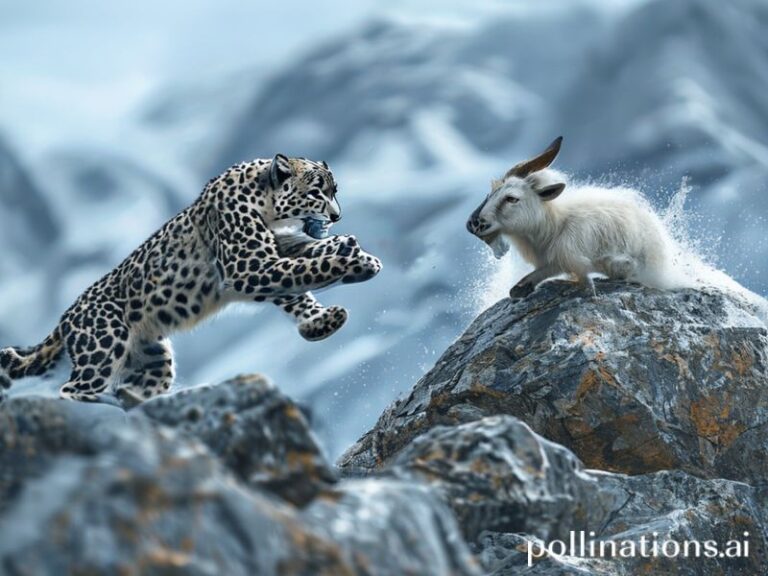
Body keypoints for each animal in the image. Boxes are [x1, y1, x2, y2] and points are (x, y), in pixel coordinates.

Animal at [0, 154, 382, 404]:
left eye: (335, 190)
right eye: (317, 192)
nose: (337, 215)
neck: (271, 211)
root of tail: (65, 318)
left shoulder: (274, 254)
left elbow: (302, 277)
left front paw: (347, 264)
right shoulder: (251, 266)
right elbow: (307, 272)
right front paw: (355, 266)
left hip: (154, 358)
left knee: (137, 384)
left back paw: (138, 405)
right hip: (104, 344)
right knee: (73, 388)